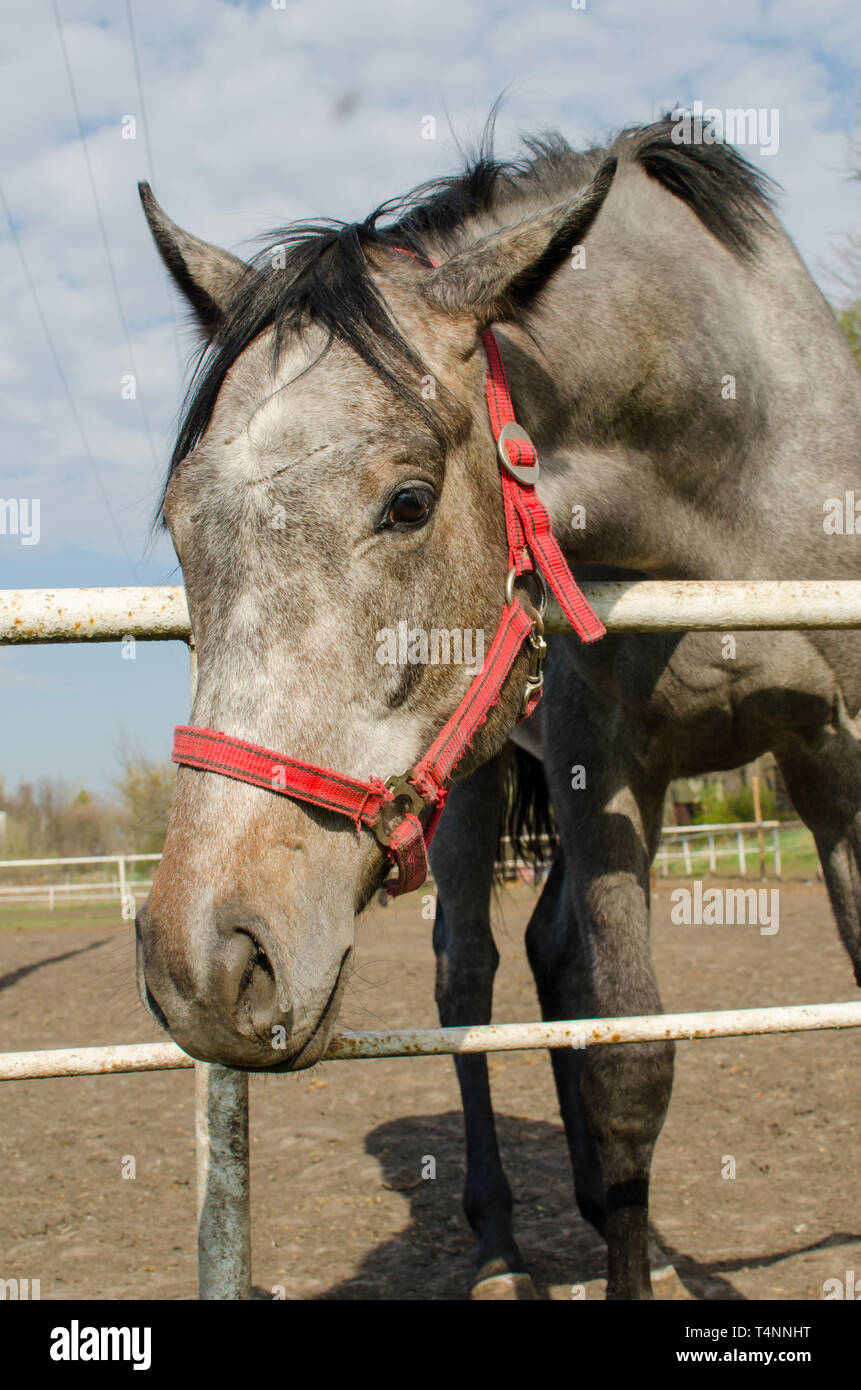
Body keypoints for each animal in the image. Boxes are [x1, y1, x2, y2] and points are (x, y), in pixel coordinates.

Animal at [135, 116, 861, 1299]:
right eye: (181, 522)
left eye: (408, 503)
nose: (202, 964)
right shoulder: (601, 767)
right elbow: (631, 1068)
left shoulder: (831, 761)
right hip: (474, 795)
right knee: (467, 974)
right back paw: (496, 1240)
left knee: (547, 949)